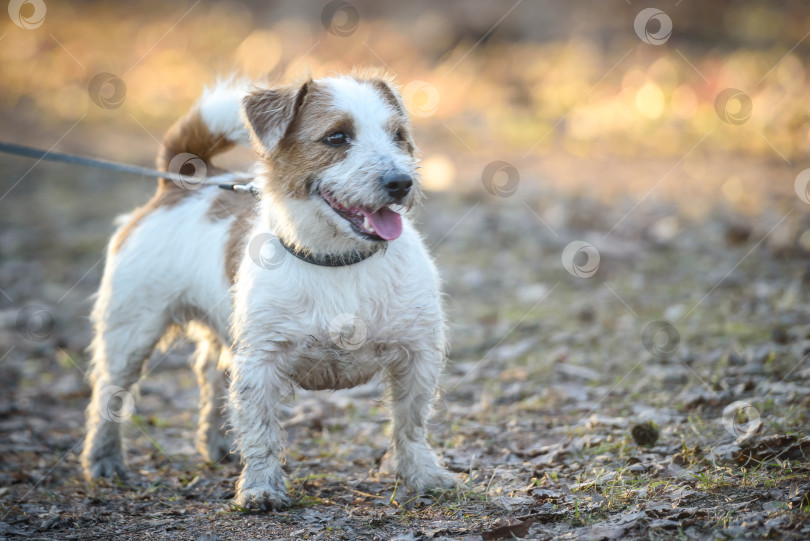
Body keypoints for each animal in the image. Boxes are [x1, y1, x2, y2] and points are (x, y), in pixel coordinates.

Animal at [84, 69, 458, 508]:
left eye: (398, 135)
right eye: (336, 137)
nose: (401, 182)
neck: (338, 260)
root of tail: (181, 184)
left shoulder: (418, 356)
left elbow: (410, 424)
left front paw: (423, 474)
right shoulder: (260, 364)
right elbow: (261, 431)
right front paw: (261, 487)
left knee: (211, 376)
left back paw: (217, 444)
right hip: (130, 335)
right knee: (109, 395)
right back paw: (104, 460)